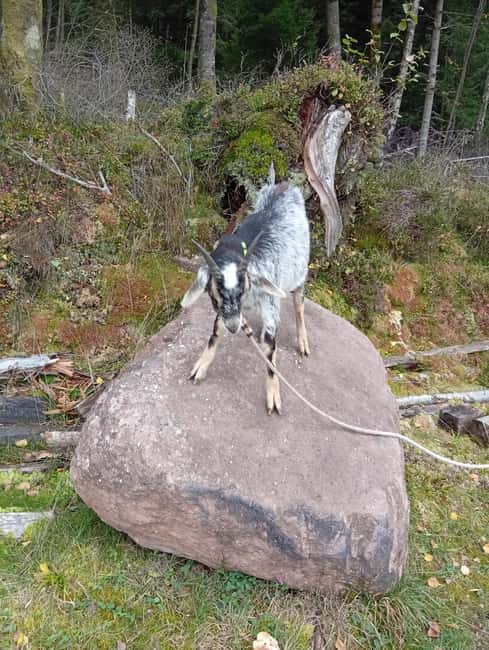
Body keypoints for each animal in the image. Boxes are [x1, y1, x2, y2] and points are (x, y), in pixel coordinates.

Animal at [181, 166, 310, 414]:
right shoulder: (228, 311)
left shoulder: (269, 303)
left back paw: (303, 342)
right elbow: (216, 330)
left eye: (242, 289)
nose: (233, 327)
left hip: (300, 271)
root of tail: (284, 186)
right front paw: (201, 366)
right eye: (214, 295)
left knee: (299, 304)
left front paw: (273, 398)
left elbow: (271, 349)